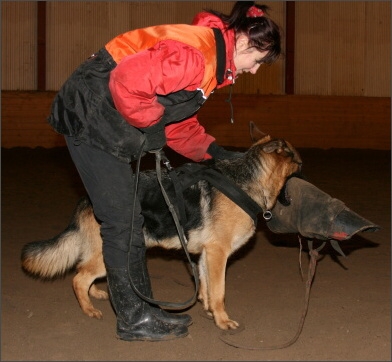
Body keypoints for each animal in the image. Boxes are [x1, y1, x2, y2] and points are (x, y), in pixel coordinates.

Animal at [21, 123, 302, 330]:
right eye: (298, 162)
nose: (304, 168)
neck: (247, 181)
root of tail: (86, 199)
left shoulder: (206, 254)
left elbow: (206, 287)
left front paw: (209, 311)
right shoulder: (218, 253)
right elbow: (219, 291)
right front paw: (223, 321)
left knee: (85, 272)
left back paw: (98, 294)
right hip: (110, 254)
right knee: (78, 277)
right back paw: (89, 309)